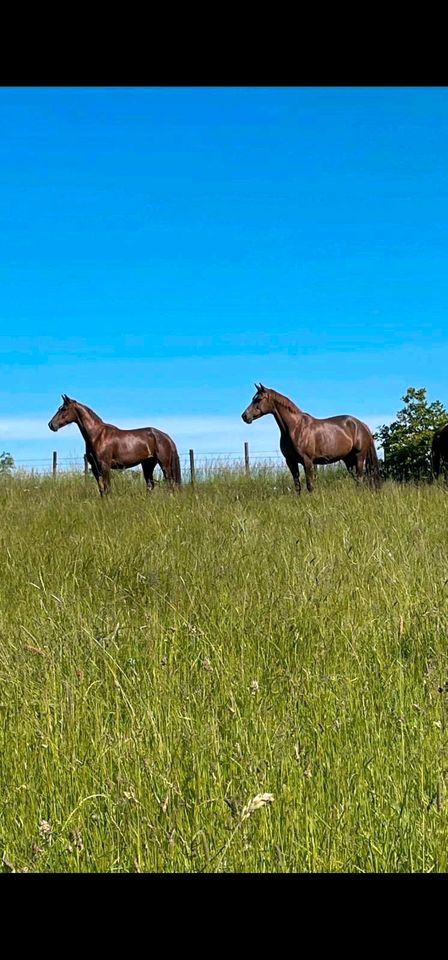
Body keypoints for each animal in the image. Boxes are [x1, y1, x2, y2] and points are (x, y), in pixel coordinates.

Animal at [48, 394, 181, 496]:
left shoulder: (105, 466)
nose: (51, 425)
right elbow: (101, 489)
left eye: (64, 409)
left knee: (170, 483)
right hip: (148, 464)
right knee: (150, 485)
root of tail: (165, 437)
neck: (97, 435)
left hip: (164, 465)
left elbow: (107, 488)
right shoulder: (95, 468)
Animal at [242, 380, 382, 492]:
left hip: (359, 457)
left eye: (258, 399)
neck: (295, 428)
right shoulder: (291, 461)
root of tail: (362, 425)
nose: (244, 416)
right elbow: (297, 485)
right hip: (348, 460)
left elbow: (310, 485)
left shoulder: (307, 461)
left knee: (360, 479)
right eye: (253, 398)